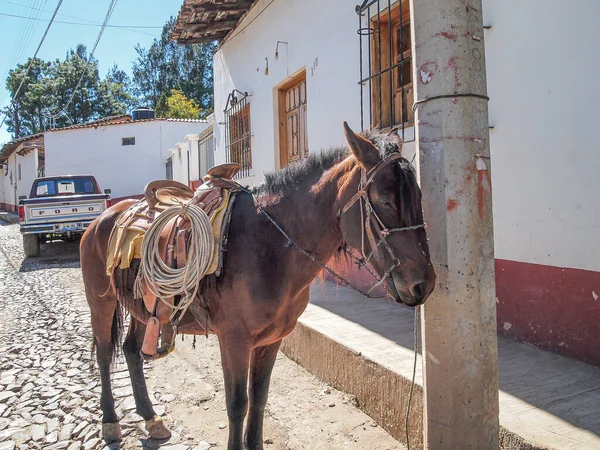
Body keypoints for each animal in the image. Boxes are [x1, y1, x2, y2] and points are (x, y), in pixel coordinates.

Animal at [81, 123, 436, 450]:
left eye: (420, 197)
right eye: (385, 200)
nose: (425, 284)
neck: (270, 246)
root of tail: (102, 219)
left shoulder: (271, 340)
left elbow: (260, 398)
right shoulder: (234, 340)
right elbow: (238, 404)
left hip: (143, 310)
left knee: (130, 350)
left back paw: (151, 418)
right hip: (102, 304)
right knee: (104, 354)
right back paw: (110, 422)